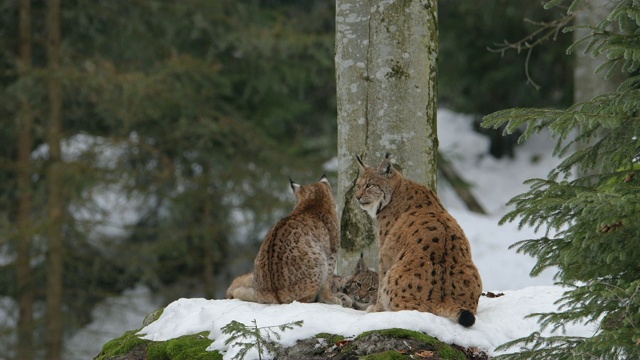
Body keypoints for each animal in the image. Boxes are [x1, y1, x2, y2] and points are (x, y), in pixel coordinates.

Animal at [252, 176, 348, 306]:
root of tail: (275, 292)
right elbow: (328, 278)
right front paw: (329, 298)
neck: (313, 203)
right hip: (318, 259)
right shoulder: (332, 251)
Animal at [352, 153, 482, 328]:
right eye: (358, 185)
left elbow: (379, 282)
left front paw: (376, 310)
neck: (396, 190)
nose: (357, 197)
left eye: (369, 185)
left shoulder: (385, 251)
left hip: (394, 272)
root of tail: (440, 299)